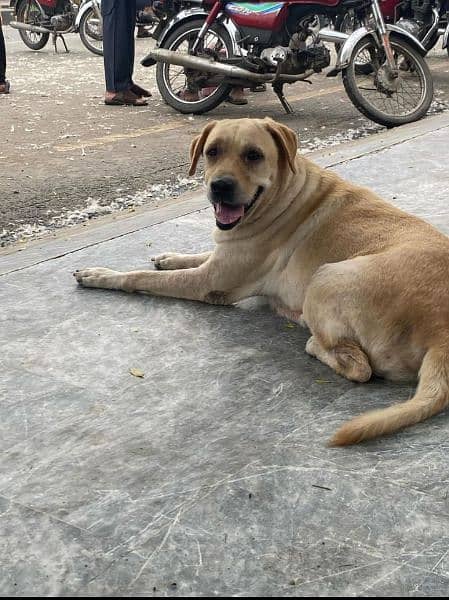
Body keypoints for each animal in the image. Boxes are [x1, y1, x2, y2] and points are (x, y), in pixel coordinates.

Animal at [74, 117, 448, 446]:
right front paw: (168, 257)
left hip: (327, 275)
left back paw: (311, 338)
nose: (220, 186)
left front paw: (101, 275)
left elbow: (140, 277)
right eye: (212, 152)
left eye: (253, 155)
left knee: (359, 366)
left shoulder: (209, 282)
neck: (283, 194)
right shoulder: (220, 259)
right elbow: (194, 256)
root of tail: (440, 332)